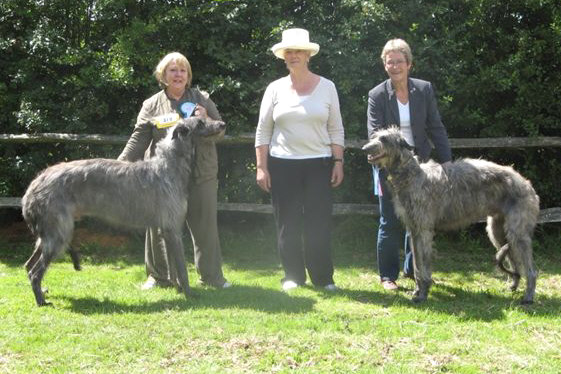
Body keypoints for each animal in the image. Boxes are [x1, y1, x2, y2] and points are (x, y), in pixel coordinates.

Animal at [20, 117, 225, 306]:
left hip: (49, 232)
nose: (222, 124)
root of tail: (33, 185)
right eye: (200, 122)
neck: (170, 165)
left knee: (28, 265)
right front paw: (189, 293)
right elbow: (182, 268)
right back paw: (41, 301)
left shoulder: (166, 230)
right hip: (58, 233)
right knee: (35, 272)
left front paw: (179, 289)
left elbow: (173, 266)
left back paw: (43, 292)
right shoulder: (172, 229)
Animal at [364, 125, 540, 304]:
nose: (365, 148)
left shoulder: (424, 229)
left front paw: (423, 293)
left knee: (531, 270)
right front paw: (418, 291)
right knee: (514, 262)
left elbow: (423, 265)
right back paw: (513, 286)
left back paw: (528, 297)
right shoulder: (413, 230)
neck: (412, 175)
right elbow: (417, 265)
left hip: (517, 231)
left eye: (384, 139)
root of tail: (526, 183)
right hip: (497, 231)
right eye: (374, 136)